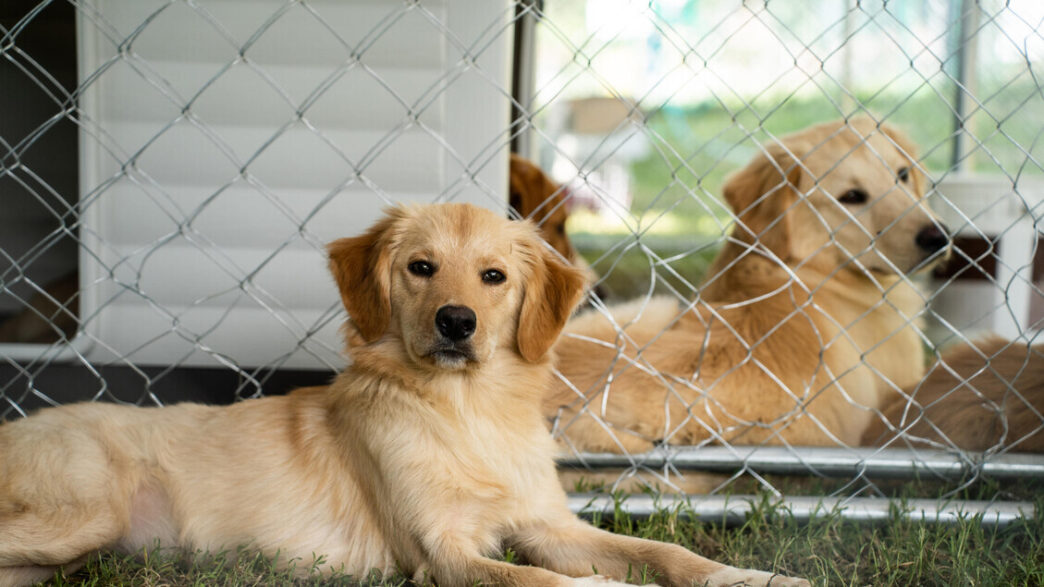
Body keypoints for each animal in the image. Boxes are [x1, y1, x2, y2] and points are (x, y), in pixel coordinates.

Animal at [0, 202, 805, 584]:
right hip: (85, 512)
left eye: (493, 276)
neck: (465, 414)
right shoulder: (441, 553)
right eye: (421, 266)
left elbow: (666, 554)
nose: (457, 321)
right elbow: (544, 585)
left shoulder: (548, 526)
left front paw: (752, 575)